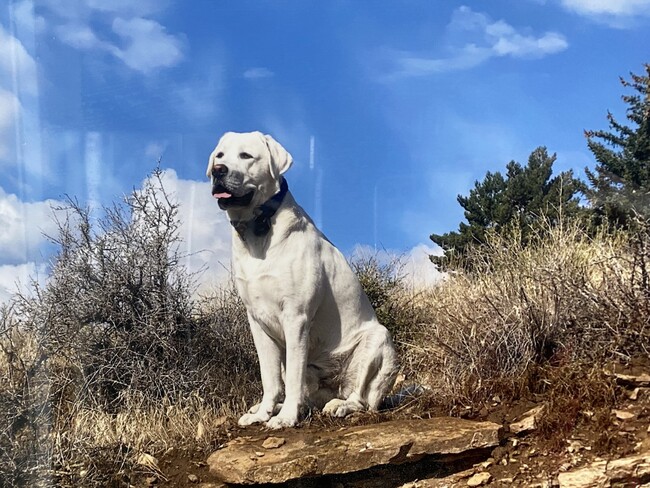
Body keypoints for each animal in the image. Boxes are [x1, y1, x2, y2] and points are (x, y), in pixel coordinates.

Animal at [208, 132, 398, 428]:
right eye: (219, 155)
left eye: (246, 156)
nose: (218, 171)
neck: (258, 230)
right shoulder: (258, 323)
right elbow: (270, 379)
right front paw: (264, 413)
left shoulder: (296, 318)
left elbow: (294, 382)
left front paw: (285, 419)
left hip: (378, 339)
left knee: (362, 399)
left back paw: (339, 406)